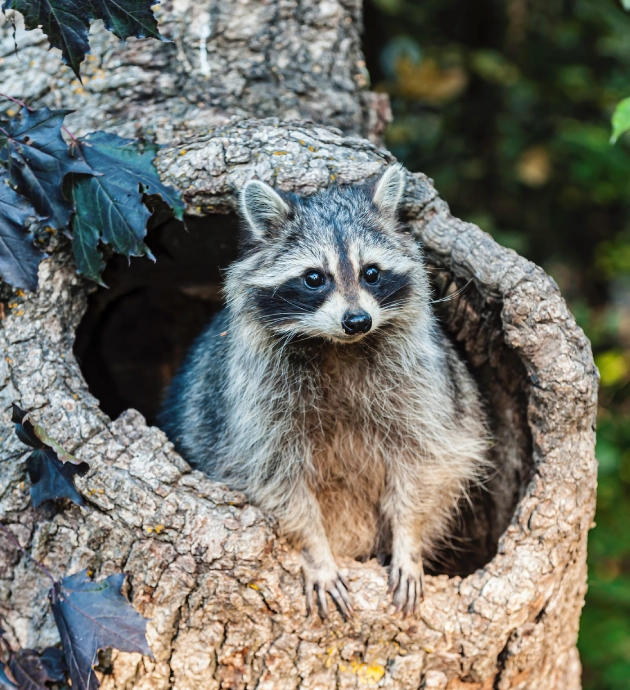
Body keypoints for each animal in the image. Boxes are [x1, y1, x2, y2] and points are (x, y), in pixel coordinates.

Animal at [160, 165, 489, 618]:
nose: (358, 320)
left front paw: (408, 540)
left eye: (371, 272)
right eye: (314, 278)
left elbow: (424, 462)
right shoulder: (254, 402)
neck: (337, 345)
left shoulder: (424, 386)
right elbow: (276, 479)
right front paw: (315, 550)